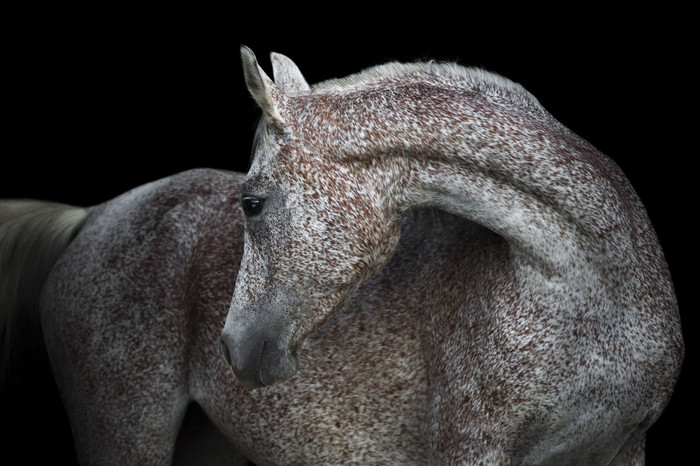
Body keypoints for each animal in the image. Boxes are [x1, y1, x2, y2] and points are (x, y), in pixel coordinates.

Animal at [1, 46, 684, 462]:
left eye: (251, 202)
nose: (235, 347)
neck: (590, 288)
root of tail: (94, 214)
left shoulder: (622, 449)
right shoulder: (470, 447)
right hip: (126, 438)